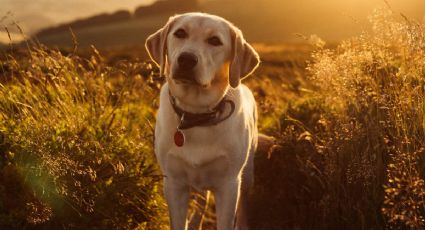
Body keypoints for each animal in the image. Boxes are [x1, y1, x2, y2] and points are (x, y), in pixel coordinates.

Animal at [145, 12, 258, 230]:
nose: (187, 59)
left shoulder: (229, 185)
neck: (196, 115)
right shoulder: (174, 183)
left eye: (215, 40)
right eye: (180, 33)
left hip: (247, 176)